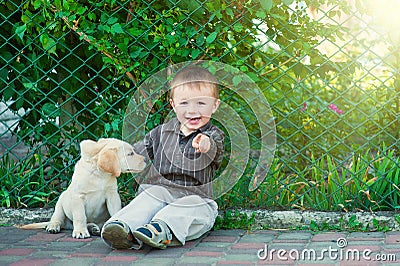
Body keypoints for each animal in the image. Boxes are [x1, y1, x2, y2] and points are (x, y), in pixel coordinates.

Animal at [19, 138, 147, 238]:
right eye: (130, 154)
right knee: (57, 217)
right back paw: (53, 226)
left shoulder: (112, 195)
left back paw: (93, 228)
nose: (146, 159)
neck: (99, 174)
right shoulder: (78, 197)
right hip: (61, 201)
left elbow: (116, 211)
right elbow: (80, 216)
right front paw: (80, 232)